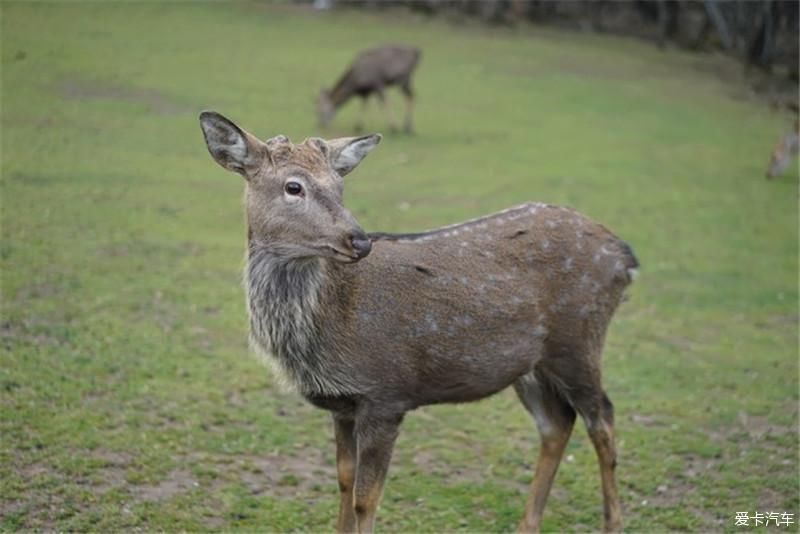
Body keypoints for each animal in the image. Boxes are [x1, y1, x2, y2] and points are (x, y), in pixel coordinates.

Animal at [198, 111, 636, 532]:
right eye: (294, 187)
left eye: (340, 187)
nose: (359, 240)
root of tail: (625, 256)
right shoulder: (344, 404)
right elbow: (343, 480)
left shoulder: (386, 393)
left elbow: (366, 498)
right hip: (531, 364)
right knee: (557, 422)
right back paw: (527, 525)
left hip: (579, 339)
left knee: (603, 419)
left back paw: (612, 523)